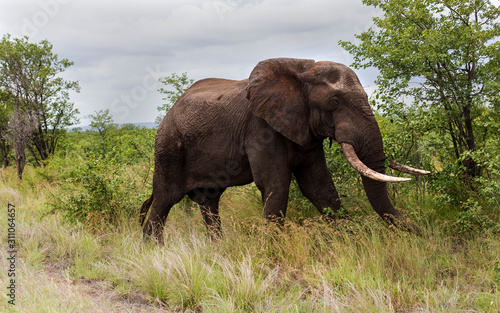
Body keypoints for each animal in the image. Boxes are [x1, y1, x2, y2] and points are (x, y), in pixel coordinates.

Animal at [141, 57, 430, 240]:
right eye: (334, 102)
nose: (425, 233)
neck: (302, 70)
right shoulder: (260, 128)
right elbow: (276, 185)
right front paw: (272, 252)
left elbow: (320, 188)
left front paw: (349, 242)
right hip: (168, 147)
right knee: (165, 199)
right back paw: (152, 250)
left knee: (209, 202)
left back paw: (218, 248)